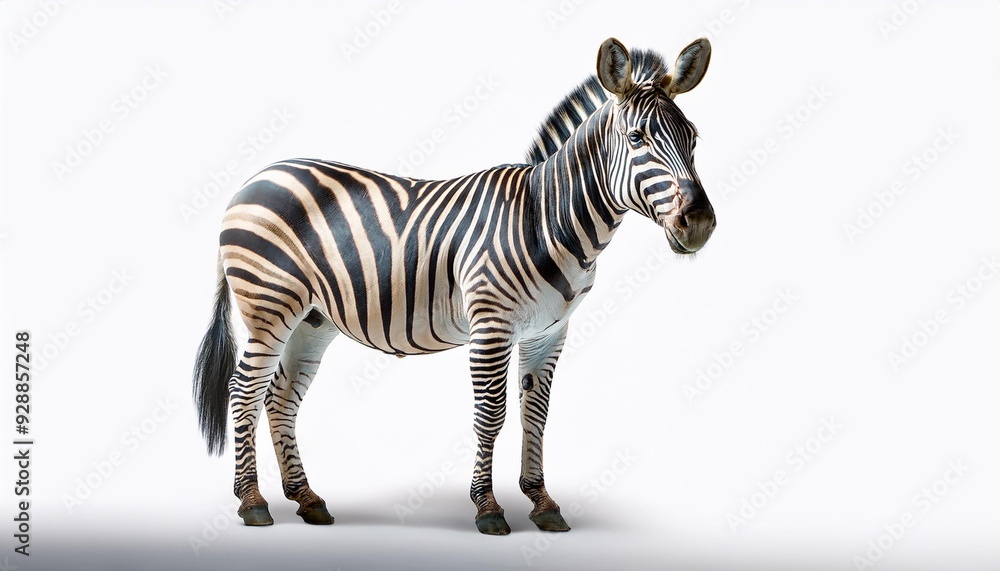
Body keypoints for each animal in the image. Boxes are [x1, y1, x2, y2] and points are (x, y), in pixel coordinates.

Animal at [193, 37, 715, 535]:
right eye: (636, 138)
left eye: (693, 138)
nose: (700, 224)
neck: (546, 218)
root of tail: (254, 178)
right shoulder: (491, 325)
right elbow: (492, 413)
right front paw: (488, 508)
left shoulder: (549, 332)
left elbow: (536, 413)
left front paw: (542, 502)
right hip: (269, 305)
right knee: (244, 392)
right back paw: (253, 502)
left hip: (312, 319)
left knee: (280, 398)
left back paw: (307, 499)